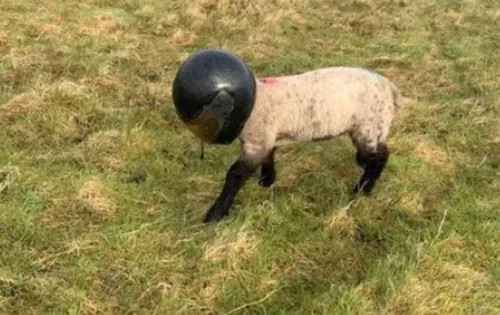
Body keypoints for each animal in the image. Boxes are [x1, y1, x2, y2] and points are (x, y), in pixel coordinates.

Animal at [203, 67, 402, 222]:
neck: (254, 102)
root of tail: (390, 87)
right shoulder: (268, 138)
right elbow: (269, 156)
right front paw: (267, 181)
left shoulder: (256, 142)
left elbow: (235, 175)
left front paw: (215, 215)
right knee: (373, 155)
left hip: (370, 125)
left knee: (380, 157)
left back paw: (362, 190)